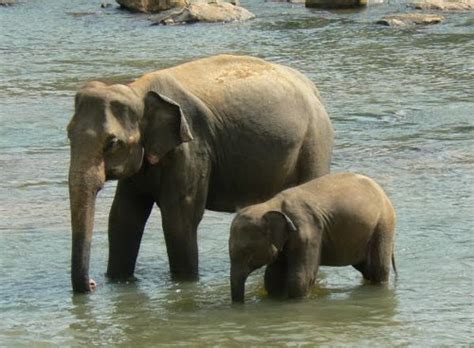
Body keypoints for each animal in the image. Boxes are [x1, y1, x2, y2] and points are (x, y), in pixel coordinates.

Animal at [67, 55, 334, 294]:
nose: (93, 284)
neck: (138, 89)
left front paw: (184, 283)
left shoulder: (193, 149)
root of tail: (313, 89)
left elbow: (179, 218)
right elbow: (124, 216)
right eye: (68, 134)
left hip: (315, 141)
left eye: (112, 143)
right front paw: (119, 282)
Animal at [230, 173, 396, 304]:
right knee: (366, 267)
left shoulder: (308, 234)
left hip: (383, 225)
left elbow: (301, 277)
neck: (270, 204)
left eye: (247, 251)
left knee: (378, 267)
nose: (240, 306)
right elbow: (272, 277)